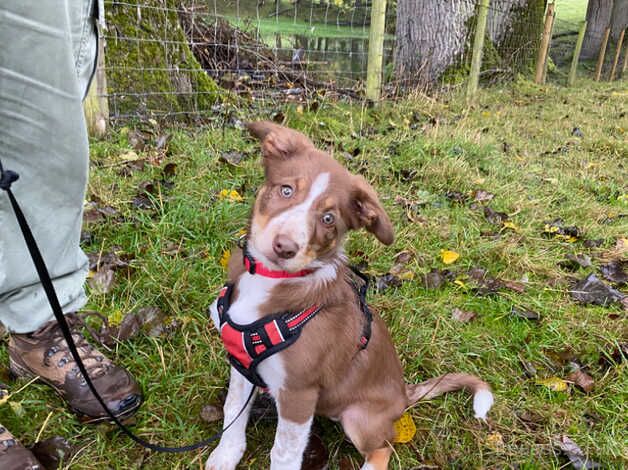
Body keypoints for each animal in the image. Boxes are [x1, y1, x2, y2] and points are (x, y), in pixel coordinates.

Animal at [206, 122, 490, 470]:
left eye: (328, 219)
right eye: (286, 190)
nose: (284, 247)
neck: (270, 281)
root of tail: (403, 394)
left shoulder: (299, 393)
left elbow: (284, 453)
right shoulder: (241, 363)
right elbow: (233, 410)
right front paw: (226, 455)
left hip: (360, 418)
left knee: (384, 447)